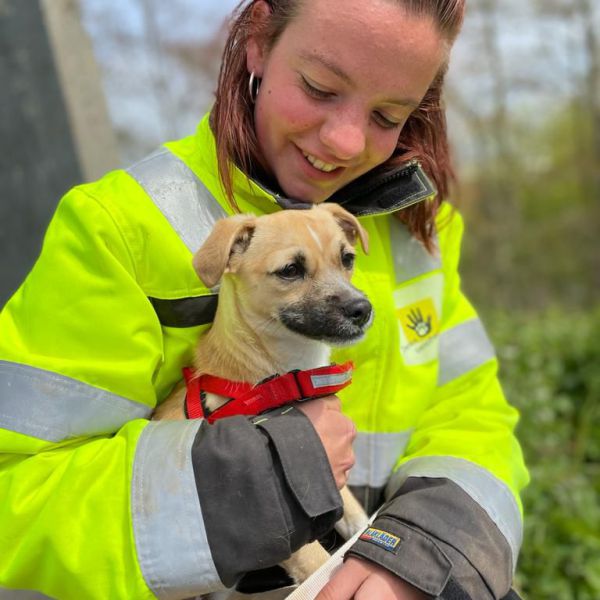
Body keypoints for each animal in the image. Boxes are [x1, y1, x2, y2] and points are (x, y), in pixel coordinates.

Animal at [152, 204, 370, 588]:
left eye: (347, 258)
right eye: (291, 270)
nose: (363, 309)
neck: (281, 375)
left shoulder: (328, 474)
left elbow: (358, 519)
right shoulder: (285, 527)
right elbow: (319, 567)